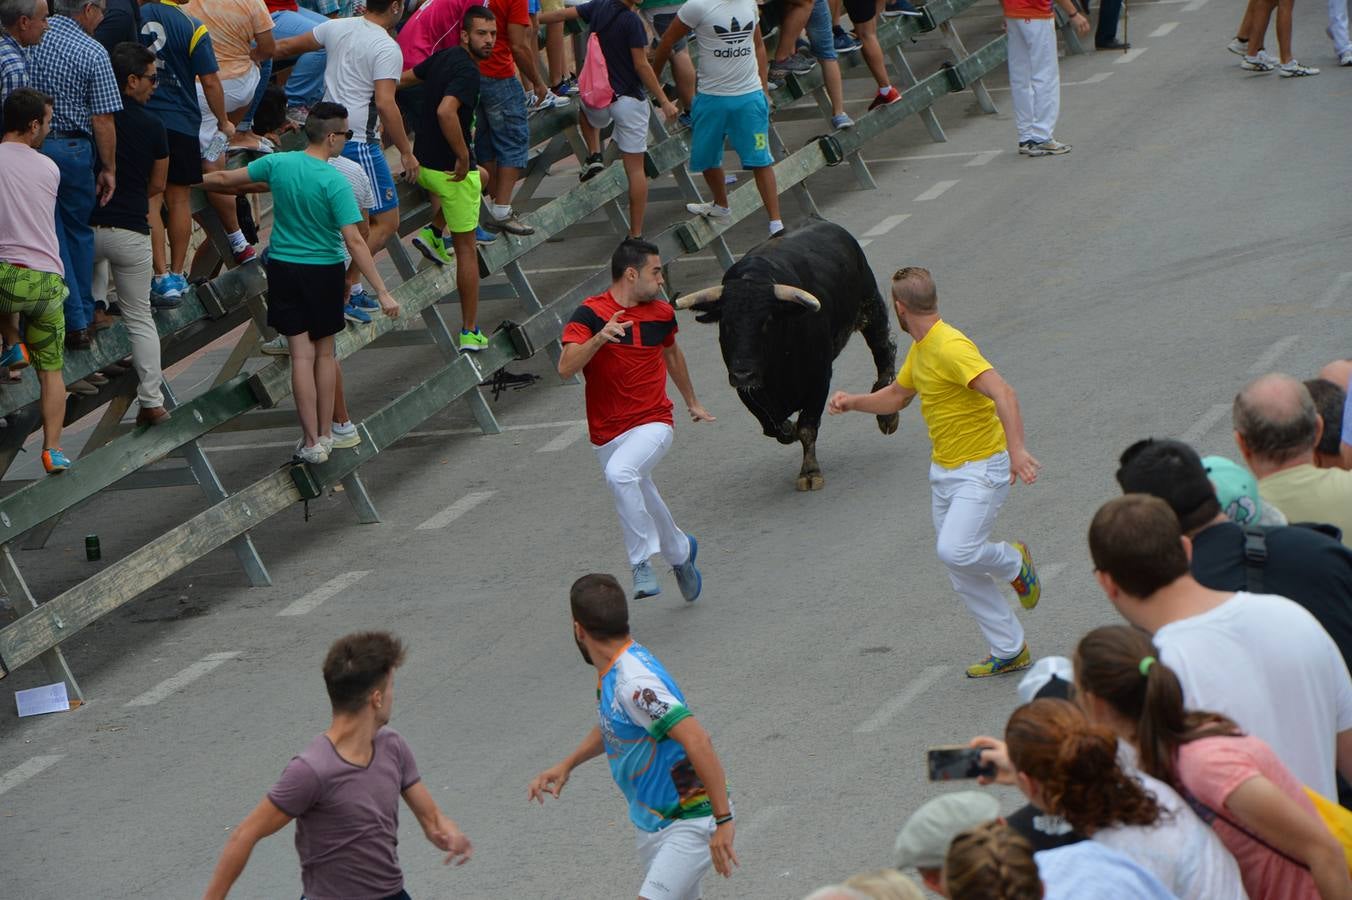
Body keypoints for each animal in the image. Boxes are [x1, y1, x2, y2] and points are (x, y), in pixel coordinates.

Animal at [676, 216, 897, 491]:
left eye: (767, 321)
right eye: (725, 323)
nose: (743, 373)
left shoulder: (818, 377)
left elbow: (807, 427)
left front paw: (810, 473)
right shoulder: (747, 390)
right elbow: (773, 426)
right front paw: (788, 431)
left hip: (870, 306)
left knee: (883, 351)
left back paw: (887, 415)